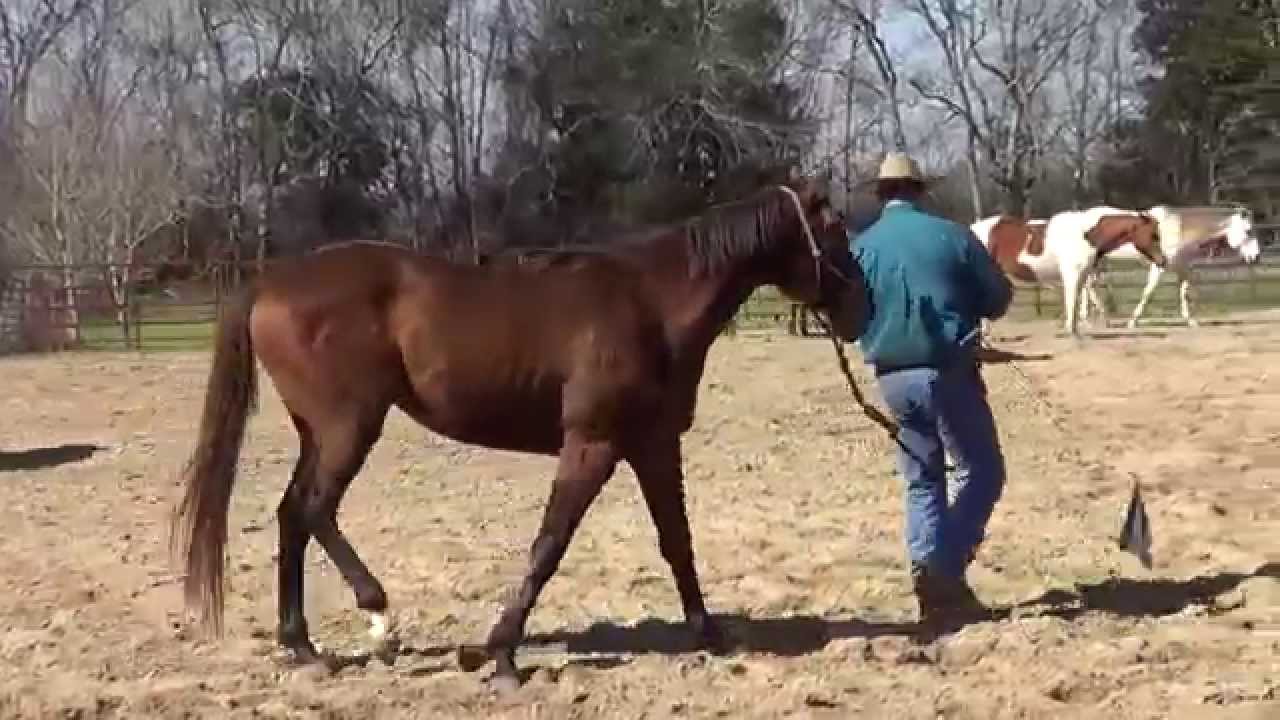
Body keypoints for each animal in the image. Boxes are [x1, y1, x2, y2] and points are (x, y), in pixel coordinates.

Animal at [168, 177, 868, 692]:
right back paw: (376, 615)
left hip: (319, 434)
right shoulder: (592, 444)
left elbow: (677, 542)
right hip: (349, 428)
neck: (650, 303)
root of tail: (270, 281)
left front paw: (710, 634)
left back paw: (303, 645)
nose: (861, 309)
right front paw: (502, 654)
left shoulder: (652, 444)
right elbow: (550, 543)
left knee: (292, 514)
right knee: (314, 511)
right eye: (834, 230)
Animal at [971, 207, 1167, 337]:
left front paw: (1075, 328)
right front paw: (1070, 331)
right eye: (1153, 235)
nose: (1162, 260)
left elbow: (1078, 301)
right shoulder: (1072, 275)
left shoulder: (1082, 276)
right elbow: (1072, 301)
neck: (1086, 235)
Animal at [1078, 205, 1261, 328]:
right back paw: (1100, 317)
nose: (1256, 257)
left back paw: (1093, 318)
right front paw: (1132, 321)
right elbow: (1148, 292)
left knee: (1087, 285)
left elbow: (1185, 291)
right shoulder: (1159, 266)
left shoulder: (1182, 267)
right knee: (1088, 285)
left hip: (1097, 262)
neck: (1179, 230)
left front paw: (1191, 320)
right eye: (1249, 231)